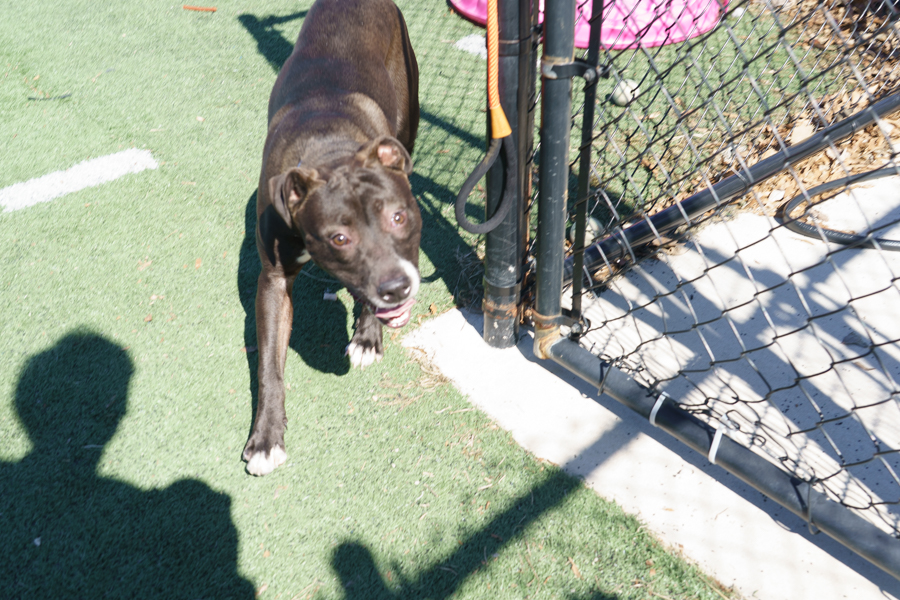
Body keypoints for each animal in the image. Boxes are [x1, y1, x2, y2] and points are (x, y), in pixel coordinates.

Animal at [243, 0, 420, 476]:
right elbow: (270, 367)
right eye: (339, 238)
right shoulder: (272, 283)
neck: (330, 150)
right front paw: (266, 437)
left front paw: (367, 337)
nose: (398, 288)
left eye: (399, 216)